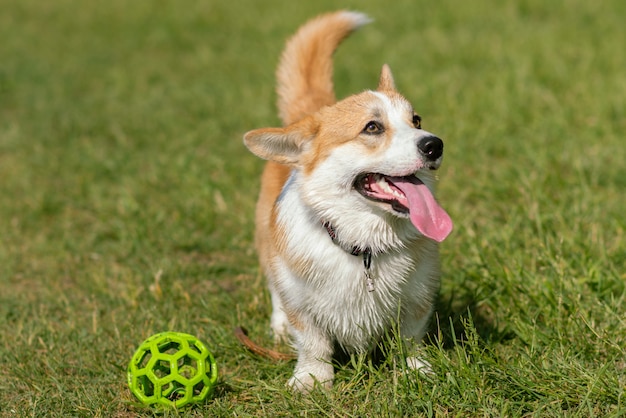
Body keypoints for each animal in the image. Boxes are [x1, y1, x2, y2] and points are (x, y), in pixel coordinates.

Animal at [241, 10, 450, 392]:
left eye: (416, 121)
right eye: (372, 127)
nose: (434, 145)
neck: (363, 244)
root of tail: (310, 113)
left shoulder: (418, 295)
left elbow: (411, 336)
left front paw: (416, 371)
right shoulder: (301, 302)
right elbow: (313, 342)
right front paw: (311, 380)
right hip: (267, 241)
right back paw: (278, 326)